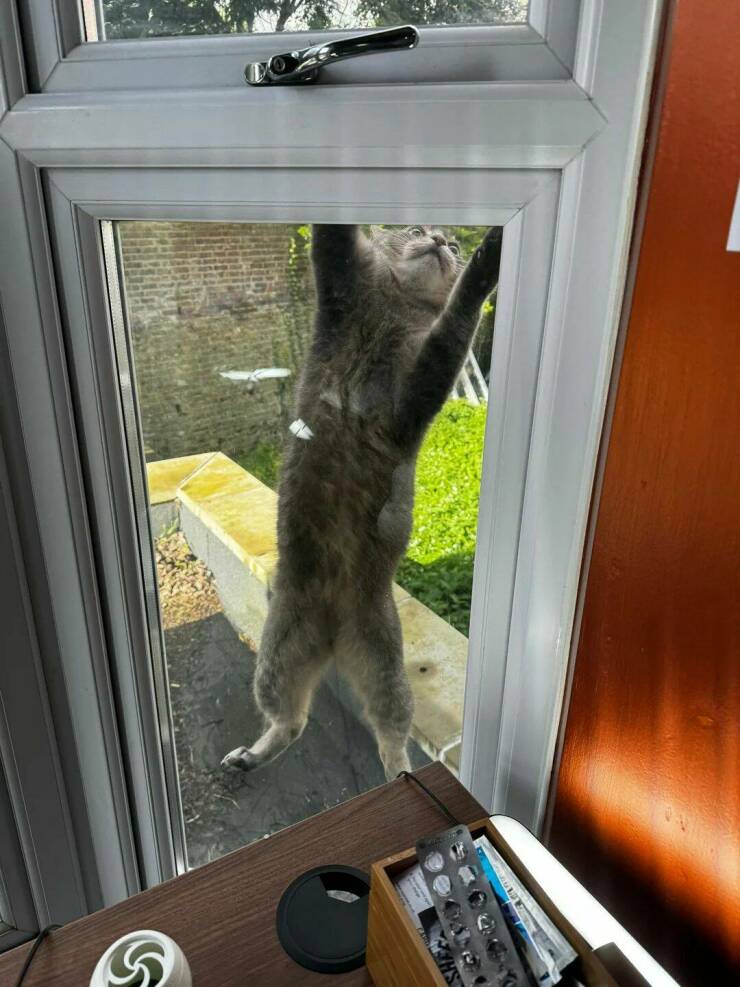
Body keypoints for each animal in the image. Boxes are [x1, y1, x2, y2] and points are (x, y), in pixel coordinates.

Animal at [222, 224, 502, 779]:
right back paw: (256, 752)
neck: (395, 304)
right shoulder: (337, 288)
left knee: (387, 732)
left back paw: (398, 771)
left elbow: (452, 327)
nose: (441, 239)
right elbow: (333, 239)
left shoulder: (417, 389)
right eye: (415, 230)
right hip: (278, 649)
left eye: (455, 245)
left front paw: (486, 264)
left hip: (381, 661)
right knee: (291, 718)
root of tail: (332, 636)